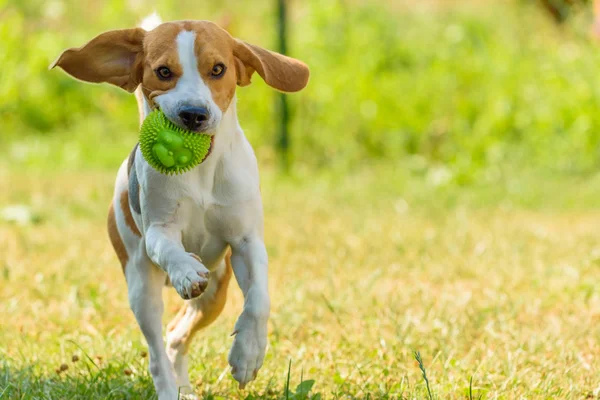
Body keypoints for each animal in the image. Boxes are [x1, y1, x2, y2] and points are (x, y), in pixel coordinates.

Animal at [51, 14, 310, 398]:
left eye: (218, 69)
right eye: (163, 71)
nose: (193, 114)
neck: (200, 170)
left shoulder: (247, 241)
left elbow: (259, 300)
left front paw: (247, 355)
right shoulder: (159, 230)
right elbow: (169, 248)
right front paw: (186, 271)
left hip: (215, 292)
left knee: (175, 334)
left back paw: (186, 386)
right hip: (140, 283)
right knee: (158, 352)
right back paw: (170, 388)